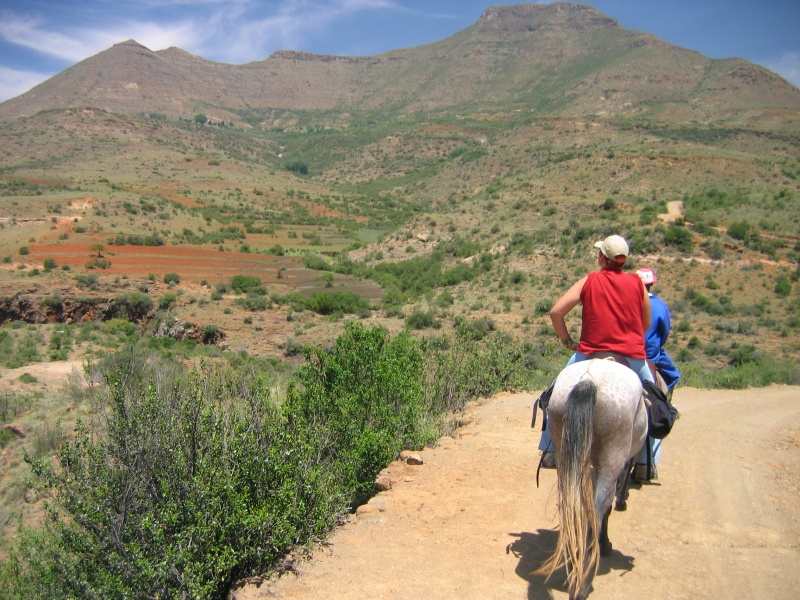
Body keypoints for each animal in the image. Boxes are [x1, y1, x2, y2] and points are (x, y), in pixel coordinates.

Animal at [535, 358, 648, 600]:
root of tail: (589, 380)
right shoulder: (620, 462)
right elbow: (607, 506)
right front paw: (605, 544)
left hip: (564, 450)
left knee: (573, 506)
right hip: (612, 457)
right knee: (597, 510)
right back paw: (583, 582)